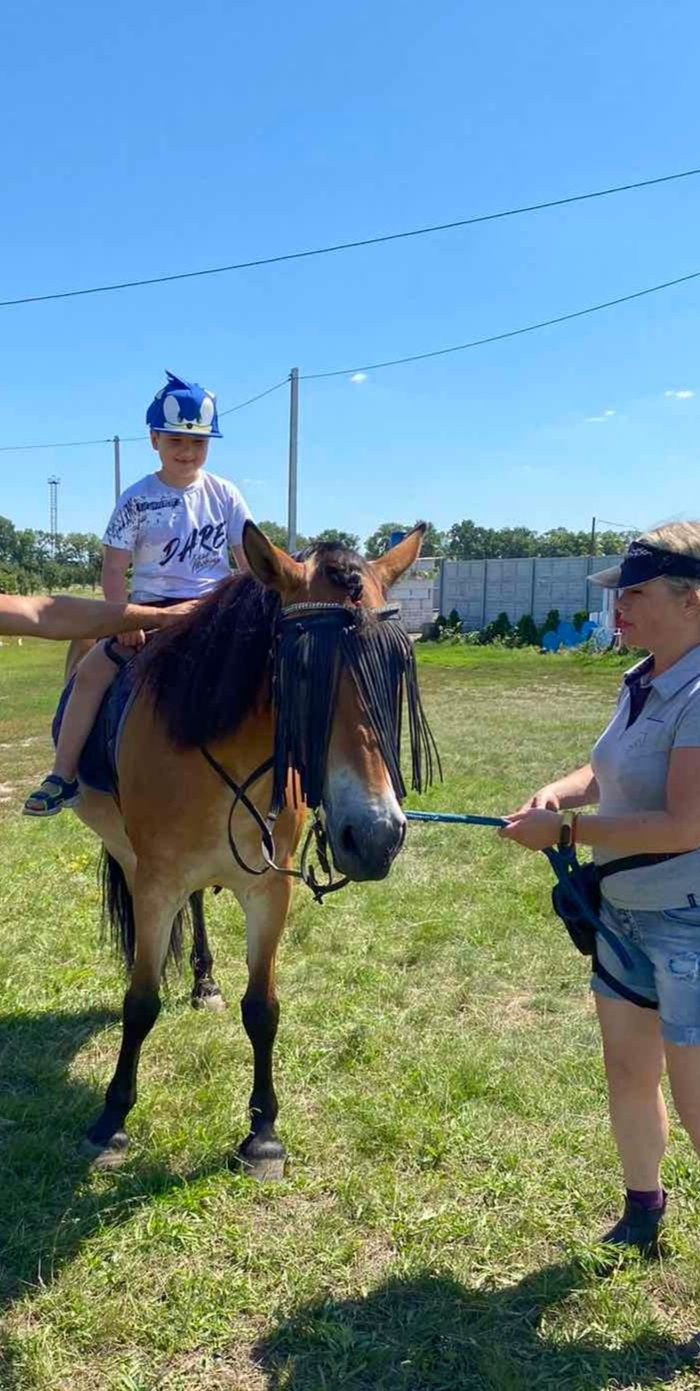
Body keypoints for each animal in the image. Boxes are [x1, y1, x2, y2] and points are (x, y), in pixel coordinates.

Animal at [69, 523, 434, 1174]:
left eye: (397, 666)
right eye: (303, 671)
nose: (374, 837)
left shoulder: (270, 889)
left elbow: (262, 1009)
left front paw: (263, 1133)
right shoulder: (156, 882)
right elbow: (140, 1002)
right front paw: (111, 1121)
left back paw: (205, 982)